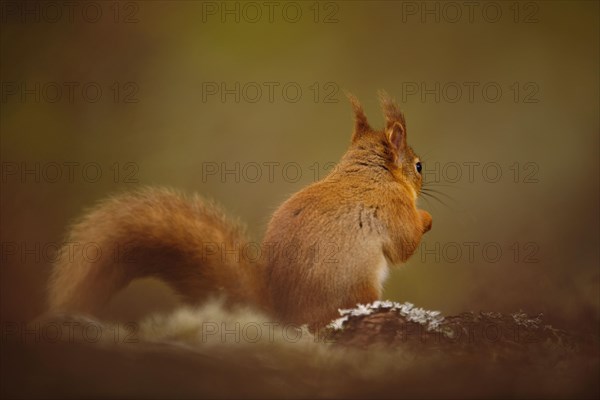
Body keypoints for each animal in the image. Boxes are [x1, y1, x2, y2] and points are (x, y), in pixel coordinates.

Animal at [47, 93, 432, 328]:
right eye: (418, 166)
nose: (423, 183)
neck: (368, 172)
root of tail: (284, 319)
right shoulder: (393, 208)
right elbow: (403, 245)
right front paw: (426, 219)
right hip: (358, 285)